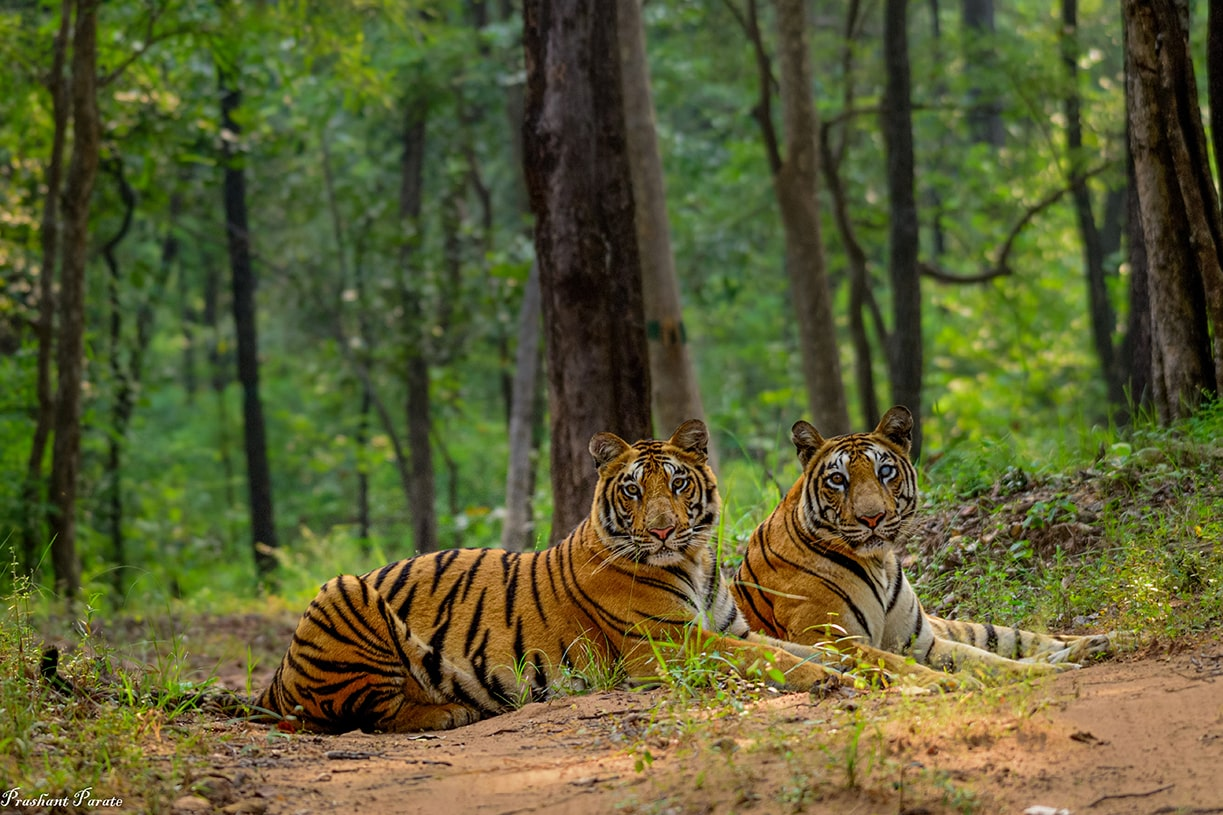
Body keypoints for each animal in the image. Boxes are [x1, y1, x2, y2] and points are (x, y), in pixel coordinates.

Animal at [255, 418, 870, 729]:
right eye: (633, 490)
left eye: (678, 483)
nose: (665, 531)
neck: (692, 562)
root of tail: (276, 674)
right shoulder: (672, 644)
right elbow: (780, 661)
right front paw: (835, 682)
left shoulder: (728, 629)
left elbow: (806, 649)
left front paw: (880, 666)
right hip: (343, 589)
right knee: (369, 716)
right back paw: (451, 711)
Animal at [724, 406, 1134, 680]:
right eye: (837, 480)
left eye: (884, 471)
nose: (871, 518)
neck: (878, 562)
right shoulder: (829, 639)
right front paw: (1039, 673)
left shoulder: (921, 643)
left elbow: (982, 658)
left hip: (973, 627)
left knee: (1033, 638)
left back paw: (1109, 639)